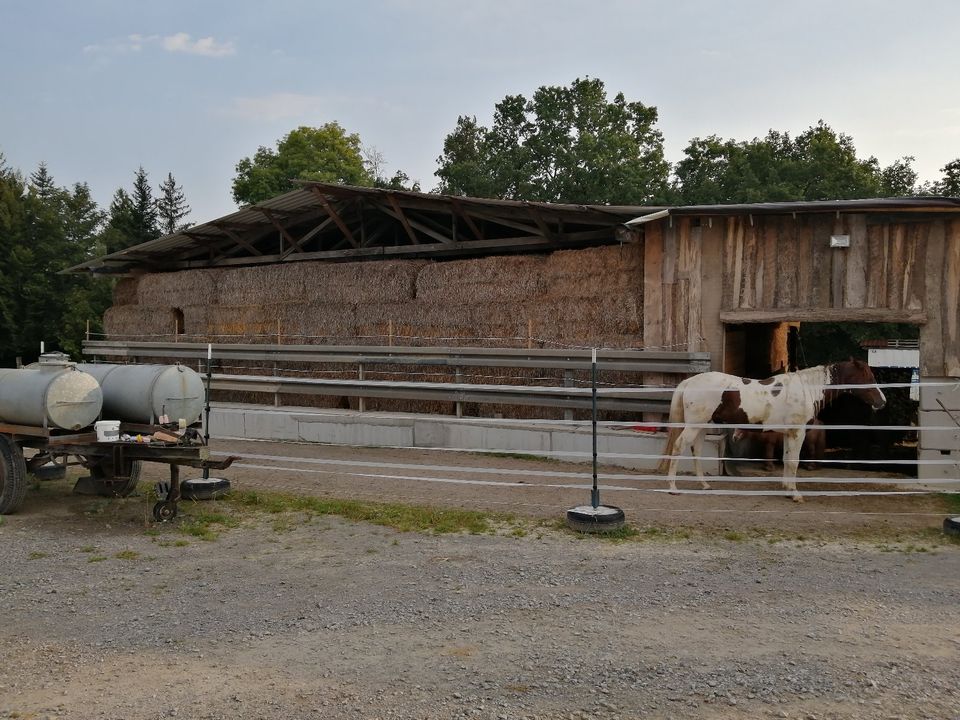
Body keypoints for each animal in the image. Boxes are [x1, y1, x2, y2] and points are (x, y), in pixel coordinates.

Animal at [656, 358, 888, 500]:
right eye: (868, 378)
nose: (882, 402)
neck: (806, 390)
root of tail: (689, 382)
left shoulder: (788, 434)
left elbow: (786, 460)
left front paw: (787, 489)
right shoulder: (798, 433)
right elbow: (793, 461)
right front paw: (795, 494)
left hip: (702, 425)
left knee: (696, 450)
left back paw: (704, 485)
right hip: (695, 424)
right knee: (679, 446)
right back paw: (673, 487)